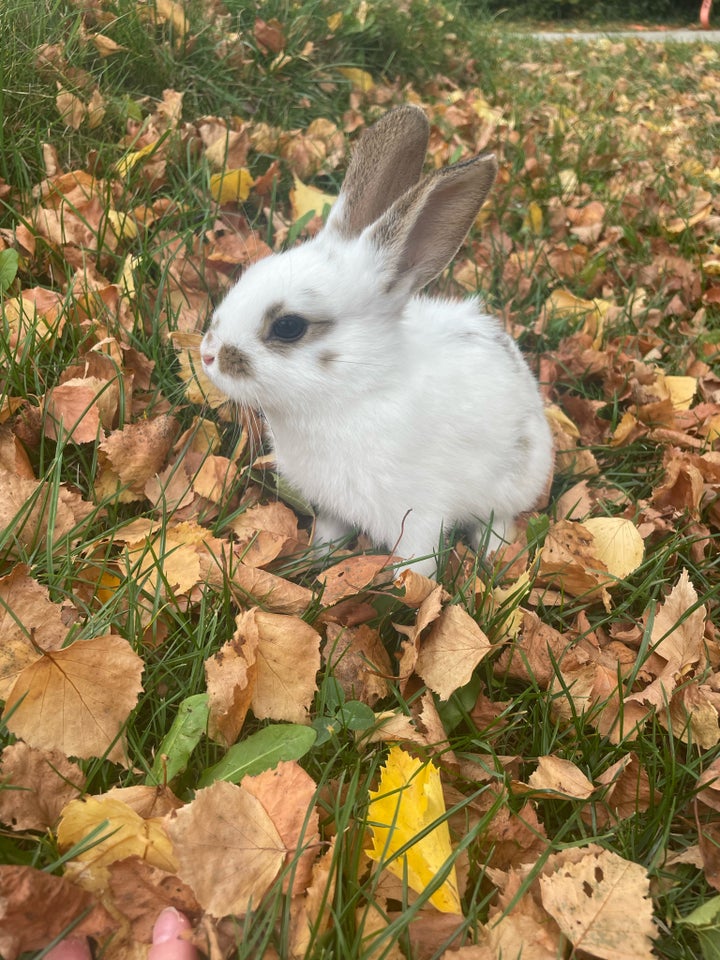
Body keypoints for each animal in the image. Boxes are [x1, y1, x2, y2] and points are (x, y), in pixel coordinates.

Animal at [200, 103, 556, 576]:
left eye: (289, 327)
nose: (208, 354)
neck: (359, 389)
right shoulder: (333, 507)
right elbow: (330, 533)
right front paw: (317, 560)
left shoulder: (418, 516)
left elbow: (417, 564)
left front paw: (404, 586)